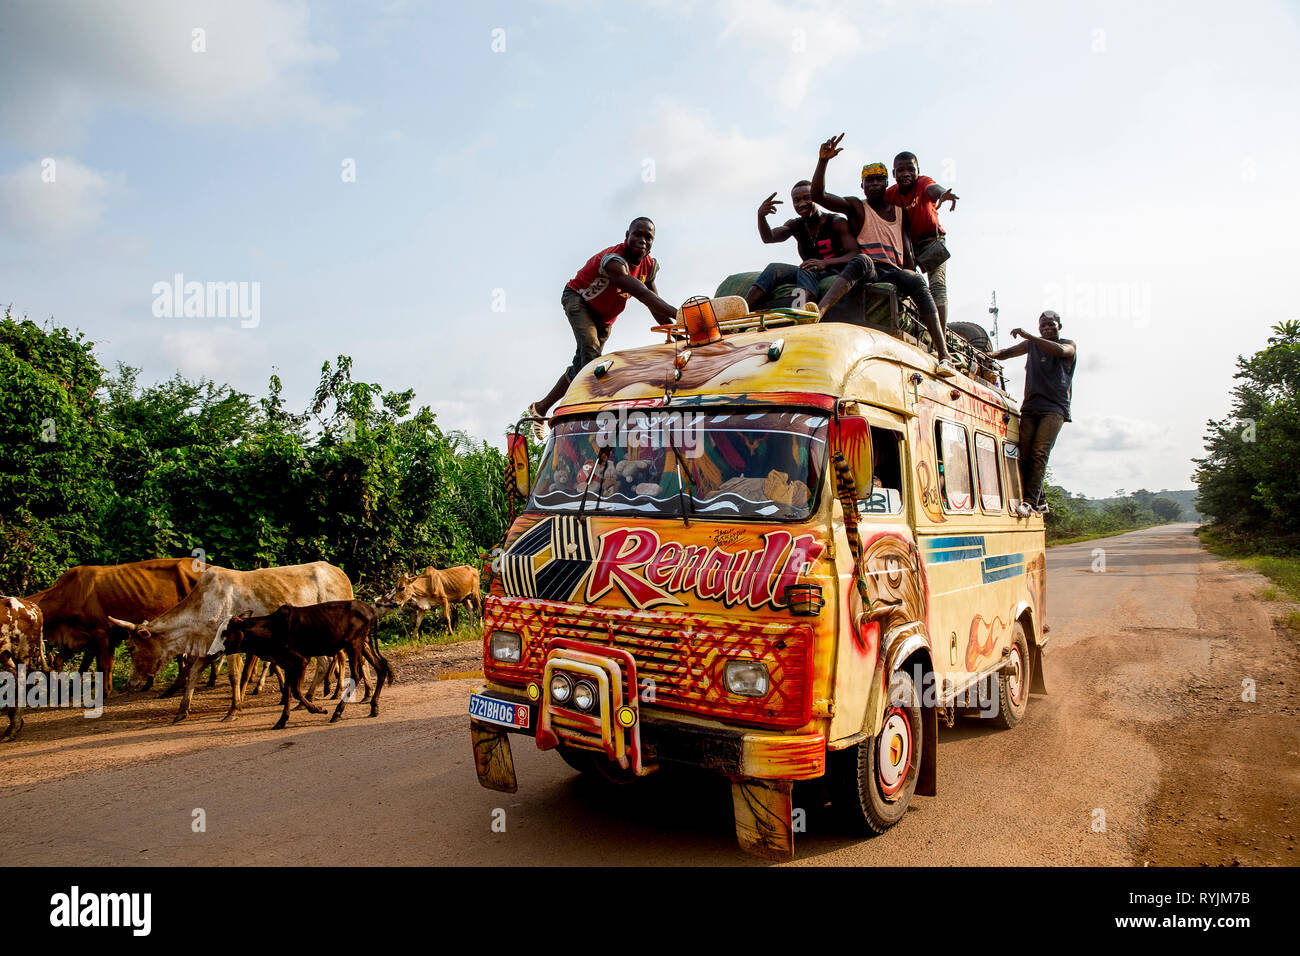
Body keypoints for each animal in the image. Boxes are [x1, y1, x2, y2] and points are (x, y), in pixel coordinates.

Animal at [107, 561, 351, 723]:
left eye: (131, 647)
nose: (130, 684)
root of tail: (340, 573)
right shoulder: (208, 646)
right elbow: (193, 673)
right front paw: (182, 710)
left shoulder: (230, 645)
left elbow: (235, 675)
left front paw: (233, 709)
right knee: (324, 663)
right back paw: (306, 699)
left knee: (331, 660)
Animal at [220, 600, 392, 728]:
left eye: (225, 632)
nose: (217, 651)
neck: (271, 628)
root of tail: (371, 610)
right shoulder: (287, 663)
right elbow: (288, 690)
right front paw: (282, 720)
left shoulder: (301, 661)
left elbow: (296, 691)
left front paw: (318, 709)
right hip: (363, 644)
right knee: (381, 668)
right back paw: (374, 707)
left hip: (354, 645)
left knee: (356, 675)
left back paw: (337, 713)